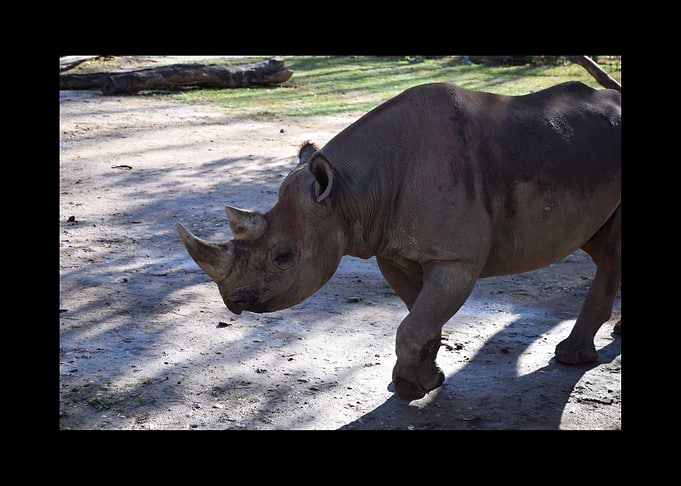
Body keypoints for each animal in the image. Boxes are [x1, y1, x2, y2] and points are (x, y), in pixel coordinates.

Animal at [178, 81, 621, 401]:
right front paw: (425, 378)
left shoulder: (455, 258)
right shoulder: (391, 251)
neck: (349, 190)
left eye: (283, 257)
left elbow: (415, 322)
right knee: (600, 245)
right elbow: (418, 317)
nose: (232, 301)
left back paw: (571, 358)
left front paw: (411, 388)